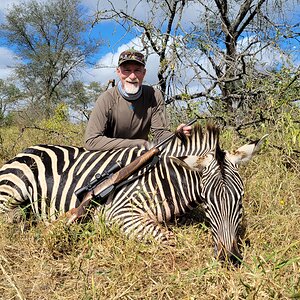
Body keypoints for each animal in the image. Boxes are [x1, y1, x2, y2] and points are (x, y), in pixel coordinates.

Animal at [0, 123, 268, 262]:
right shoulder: (119, 213)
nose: (229, 257)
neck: (164, 177)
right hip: (13, 188)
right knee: (8, 218)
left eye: (240, 199)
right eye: (209, 202)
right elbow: (169, 239)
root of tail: (27, 149)